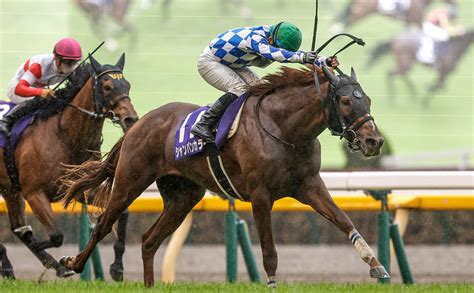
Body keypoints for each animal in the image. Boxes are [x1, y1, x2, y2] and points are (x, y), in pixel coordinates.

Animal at [0, 54, 137, 278]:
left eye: (127, 84)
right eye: (107, 86)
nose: (131, 118)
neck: (66, 136)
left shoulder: (78, 188)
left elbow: (122, 211)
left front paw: (117, 266)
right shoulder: (34, 193)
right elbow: (56, 236)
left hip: (9, 188)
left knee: (17, 227)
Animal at [59, 64, 386, 286]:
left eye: (369, 100)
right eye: (346, 101)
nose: (374, 141)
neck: (283, 128)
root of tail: (139, 123)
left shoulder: (309, 185)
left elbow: (344, 220)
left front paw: (376, 265)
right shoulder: (260, 194)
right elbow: (269, 251)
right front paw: (271, 284)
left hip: (183, 197)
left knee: (149, 240)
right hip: (131, 180)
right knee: (104, 224)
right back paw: (72, 263)